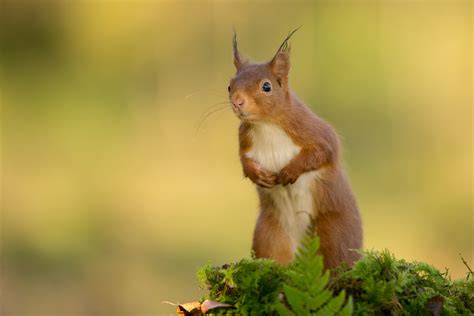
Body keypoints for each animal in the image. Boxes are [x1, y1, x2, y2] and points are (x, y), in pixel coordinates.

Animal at [228, 30, 362, 270]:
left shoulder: (312, 130)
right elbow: (244, 161)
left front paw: (290, 171)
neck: (266, 125)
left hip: (334, 232)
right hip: (268, 235)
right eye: (229, 86)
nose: (237, 102)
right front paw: (257, 175)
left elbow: (323, 152)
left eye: (267, 87)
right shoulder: (244, 140)